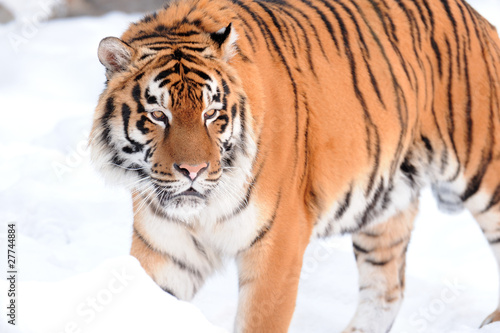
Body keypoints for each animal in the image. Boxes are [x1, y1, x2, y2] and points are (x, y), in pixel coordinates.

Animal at [90, 0, 500, 330]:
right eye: (158, 115)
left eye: (211, 114)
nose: (194, 171)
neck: (202, 210)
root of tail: (478, 18)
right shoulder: (167, 250)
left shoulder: (278, 243)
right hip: (384, 203)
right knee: (387, 290)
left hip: (485, 174)